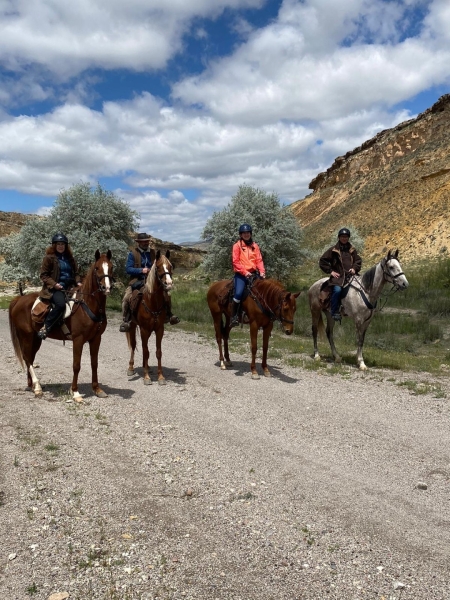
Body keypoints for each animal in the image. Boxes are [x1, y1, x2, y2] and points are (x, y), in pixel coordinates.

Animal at [8, 248, 113, 398]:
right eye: (97, 268)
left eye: (111, 267)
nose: (106, 288)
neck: (87, 305)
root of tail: (18, 300)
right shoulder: (78, 339)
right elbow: (76, 365)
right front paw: (75, 392)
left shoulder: (96, 339)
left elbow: (94, 363)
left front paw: (97, 389)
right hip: (26, 336)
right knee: (27, 358)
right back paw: (37, 387)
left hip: (35, 338)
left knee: (31, 358)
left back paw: (31, 385)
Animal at [125, 248, 173, 384]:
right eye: (158, 267)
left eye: (170, 266)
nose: (169, 283)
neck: (152, 303)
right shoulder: (144, 329)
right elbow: (145, 351)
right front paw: (146, 377)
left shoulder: (159, 329)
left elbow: (158, 352)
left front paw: (160, 376)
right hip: (132, 326)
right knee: (134, 345)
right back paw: (131, 368)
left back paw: (147, 367)